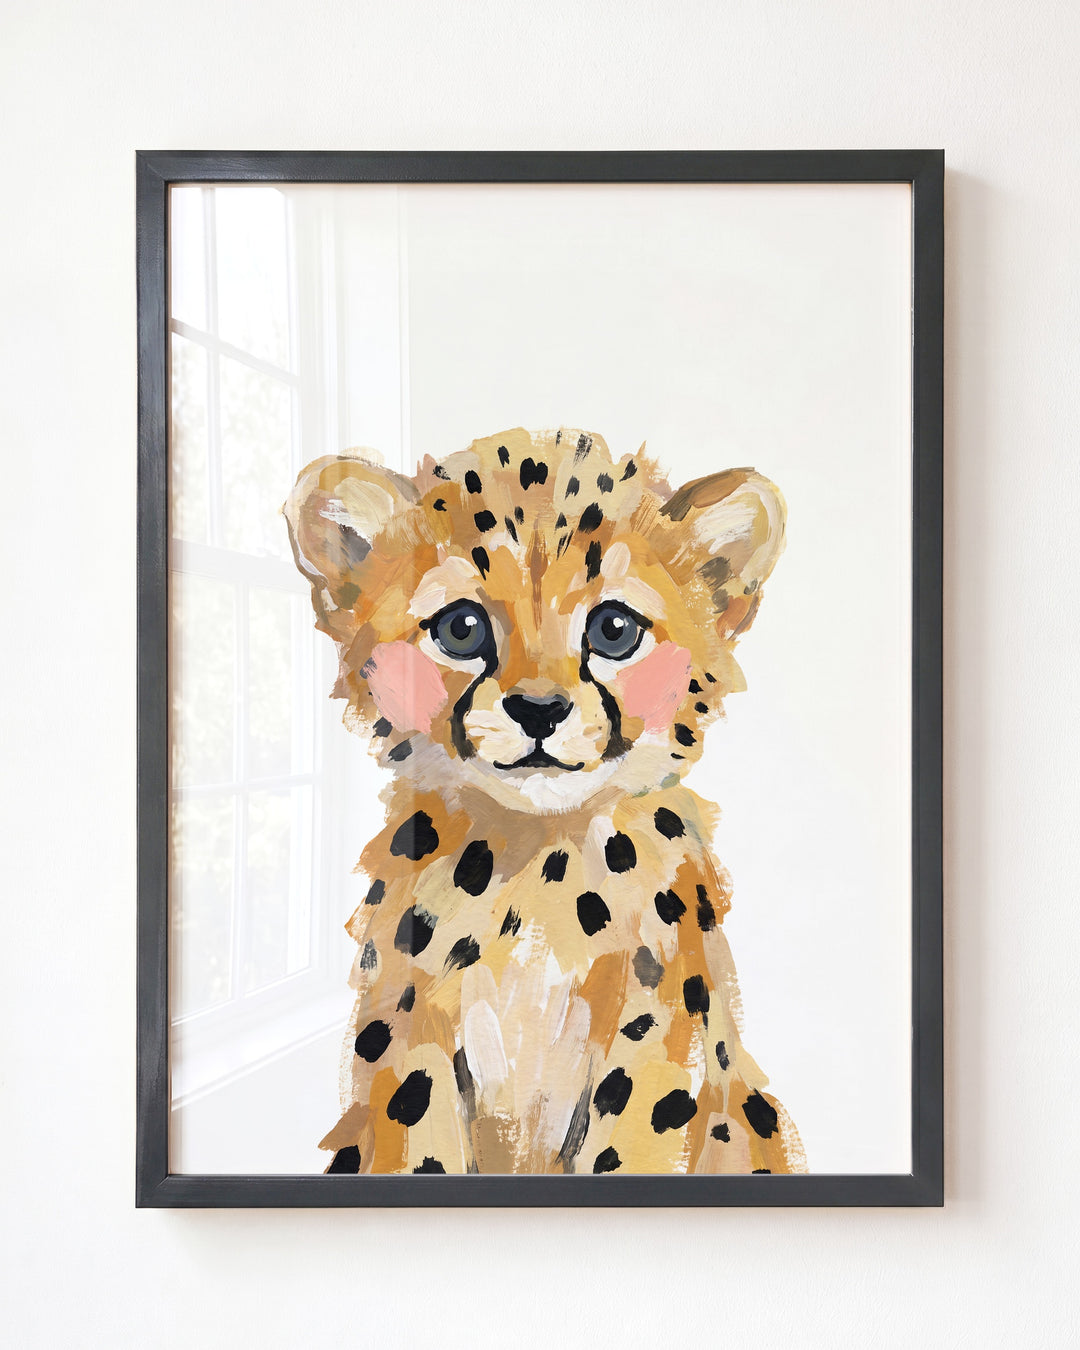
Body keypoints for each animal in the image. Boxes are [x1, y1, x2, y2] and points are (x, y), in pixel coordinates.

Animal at [284, 426, 807, 1176]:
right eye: (462, 628)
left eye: (614, 629)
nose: (538, 710)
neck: (537, 864)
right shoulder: (412, 1034)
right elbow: (420, 1140)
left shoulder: (651, 1043)